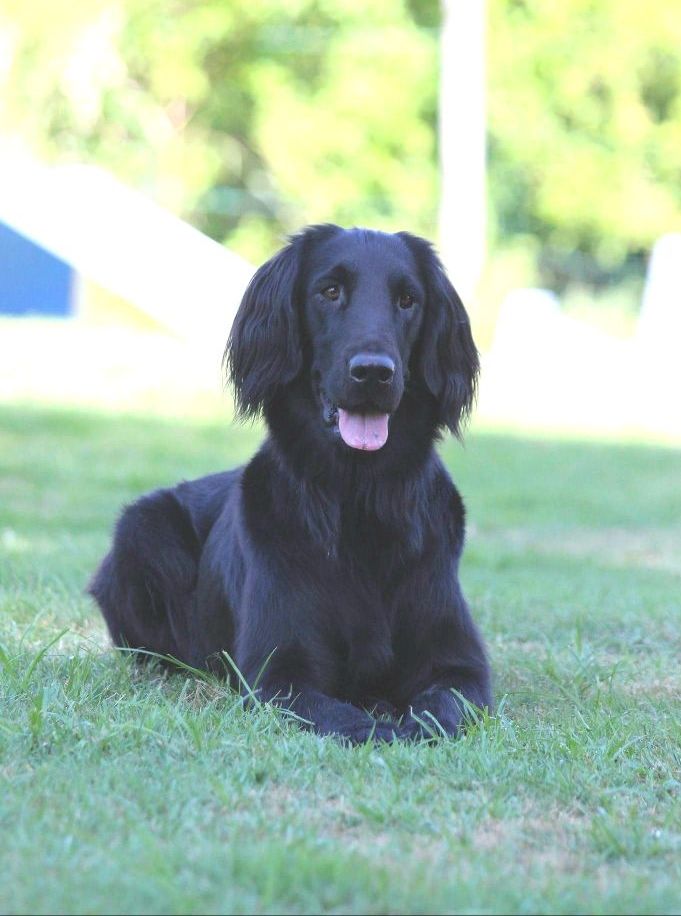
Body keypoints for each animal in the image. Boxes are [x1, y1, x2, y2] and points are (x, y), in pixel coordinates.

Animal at [89, 224, 488, 744]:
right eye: (330, 291)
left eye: (407, 300)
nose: (374, 372)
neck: (360, 501)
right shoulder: (279, 674)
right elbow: (348, 719)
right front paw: (385, 727)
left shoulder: (460, 666)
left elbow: (441, 708)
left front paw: (407, 721)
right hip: (143, 530)